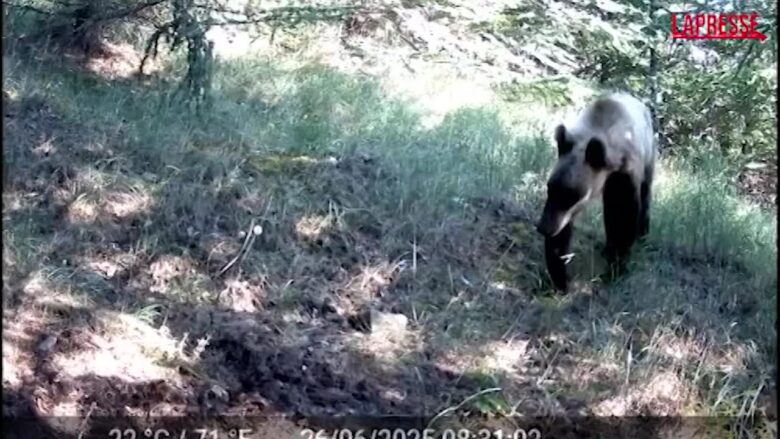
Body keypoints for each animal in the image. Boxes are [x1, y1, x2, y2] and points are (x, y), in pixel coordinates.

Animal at [535, 92, 657, 292]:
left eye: (571, 195)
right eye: (549, 188)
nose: (543, 227)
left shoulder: (625, 175)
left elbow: (625, 217)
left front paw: (617, 267)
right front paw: (560, 275)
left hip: (649, 154)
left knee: (645, 195)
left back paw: (642, 235)